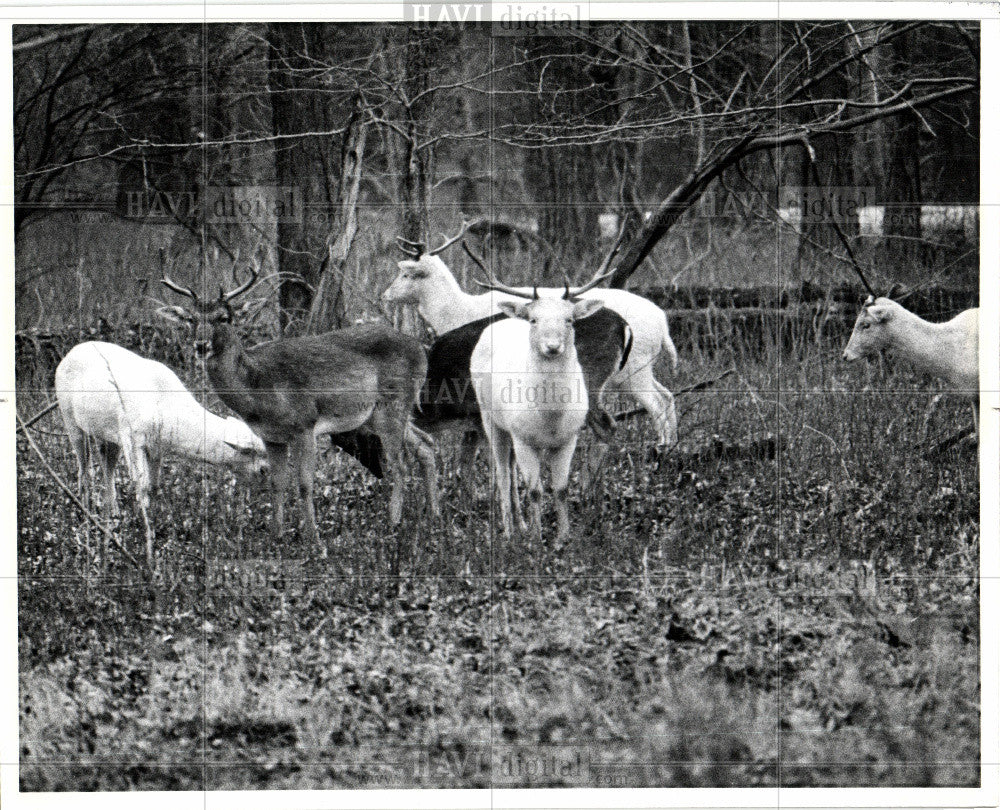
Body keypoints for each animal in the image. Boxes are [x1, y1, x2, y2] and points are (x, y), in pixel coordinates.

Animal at [54, 340, 266, 560]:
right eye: (260, 464)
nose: (266, 480)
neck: (166, 407)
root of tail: (69, 354)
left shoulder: (156, 448)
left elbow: (154, 486)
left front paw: (154, 527)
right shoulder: (132, 438)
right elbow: (142, 485)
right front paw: (147, 537)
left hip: (107, 436)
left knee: (107, 467)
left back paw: (113, 514)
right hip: (69, 418)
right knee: (83, 466)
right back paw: (84, 509)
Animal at [157, 258, 438, 544]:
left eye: (224, 318)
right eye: (190, 319)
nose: (201, 345)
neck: (259, 386)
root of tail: (421, 349)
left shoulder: (306, 424)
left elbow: (305, 484)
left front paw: (313, 537)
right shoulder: (271, 436)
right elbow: (278, 483)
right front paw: (276, 534)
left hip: (394, 403)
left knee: (400, 464)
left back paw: (394, 521)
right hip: (377, 416)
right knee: (426, 445)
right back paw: (433, 515)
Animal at [384, 218, 680, 452]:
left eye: (405, 274)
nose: (384, 294)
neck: (457, 311)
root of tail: (663, 322)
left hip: (632, 368)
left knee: (654, 404)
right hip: (637, 369)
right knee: (667, 396)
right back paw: (669, 447)